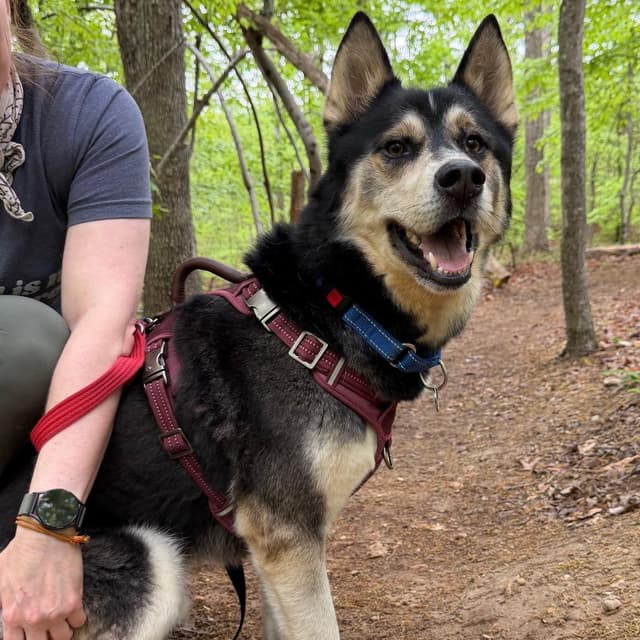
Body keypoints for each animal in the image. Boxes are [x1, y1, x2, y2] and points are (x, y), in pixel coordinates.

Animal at [0, 12, 517, 640]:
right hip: (151, 563)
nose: (462, 178)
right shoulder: (288, 536)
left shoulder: (273, 553)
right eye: (396, 147)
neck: (327, 315)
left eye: (475, 144)